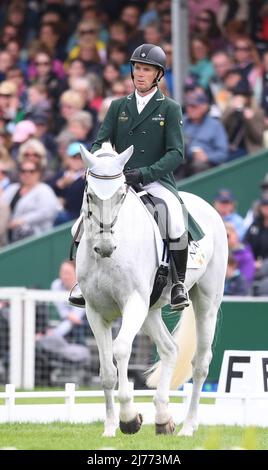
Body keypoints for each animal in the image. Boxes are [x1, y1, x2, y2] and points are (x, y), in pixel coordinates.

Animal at [75, 142, 228, 436]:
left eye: (121, 194)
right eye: (89, 194)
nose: (106, 247)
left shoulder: (133, 303)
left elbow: (121, 350)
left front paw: (129, 418)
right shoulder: (95, 311)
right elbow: (106, 371)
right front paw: (109, 428)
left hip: (206, 302)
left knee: (200, 363)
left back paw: (188, 427)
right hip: (150, 311)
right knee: (170, 349)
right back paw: (162, 418)